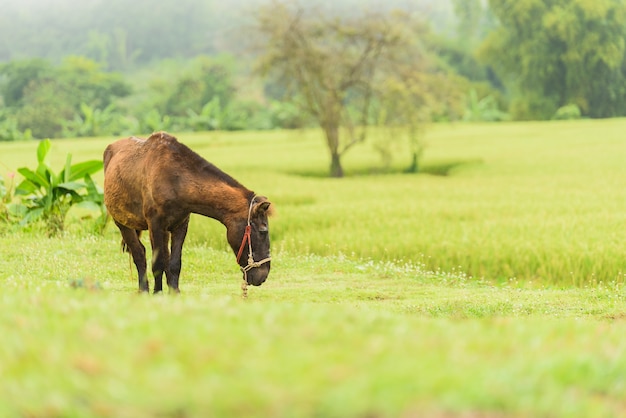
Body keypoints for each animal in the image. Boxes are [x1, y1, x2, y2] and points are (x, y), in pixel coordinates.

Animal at [102, 131, 270, 294]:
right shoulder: (155, 225)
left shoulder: (180, 225)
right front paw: (157, 293)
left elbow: (174, 262)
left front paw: (174, 291)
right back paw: (143, 289)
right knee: (139, 254)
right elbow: (157, 262)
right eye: (263, 231)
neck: (175, 179)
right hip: (123, 223)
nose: (263, 276)